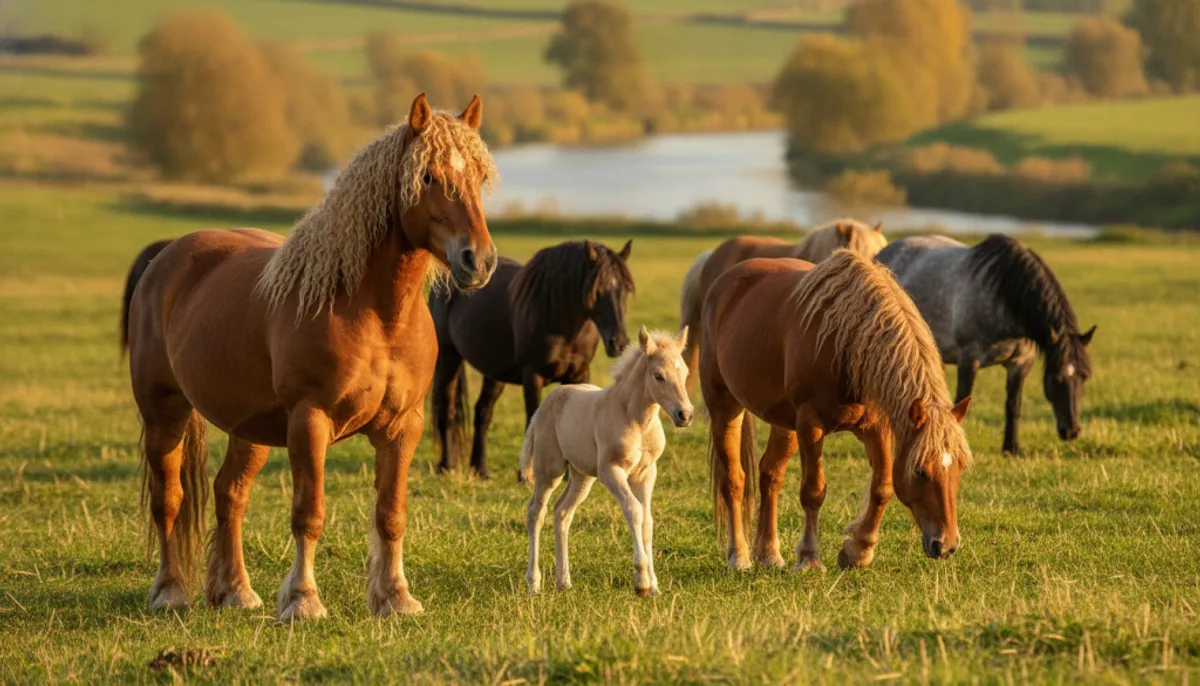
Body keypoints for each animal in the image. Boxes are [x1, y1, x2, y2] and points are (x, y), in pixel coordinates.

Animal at [120, 93, 498, 621]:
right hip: (164, 414)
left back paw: (236, 591)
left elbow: (391, 513)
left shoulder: (404, 427)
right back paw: (170, 591)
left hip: (249, 429)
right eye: (426, 177)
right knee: (169, 499)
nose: (478, 261)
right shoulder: (309, 421)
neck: (374, 314)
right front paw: (303, 600)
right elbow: (309, 514)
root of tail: (167, 257)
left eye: (480, 177)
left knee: (229, 494)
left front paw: (395, 597)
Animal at [430, 239, 635, 478]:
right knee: (447, 409)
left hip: (494, 373)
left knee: (482, 412)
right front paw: (528, 475)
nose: (618, 343)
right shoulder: (532, 376)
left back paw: (480, 469)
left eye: (626, 290)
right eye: (596, 291)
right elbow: (531, 420)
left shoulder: (579, 374)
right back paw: (447, 466)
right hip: (449, 357)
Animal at [520, 327, 692, 596]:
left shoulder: (647, 473)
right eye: (658, 376)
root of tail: (543, 408)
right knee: (536, 513)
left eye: (684, 372)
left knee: (562, 513)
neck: (635, 420)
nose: (685, 414)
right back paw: (534, 583)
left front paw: (654, 585)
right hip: (549, 471)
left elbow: (648, 521)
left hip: (582, 476)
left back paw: (564, 582)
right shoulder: (611, 470)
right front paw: (641, 581)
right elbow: (634, 510)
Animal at [701, 251, 972, 572]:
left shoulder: (877, 428)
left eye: (959, 467)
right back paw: (739, 556)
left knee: (770, 475)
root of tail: (725, 281)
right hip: (725, 406)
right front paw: (809, 558)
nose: (946, 545)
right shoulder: (810, 425)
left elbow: (883, 488)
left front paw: (859, 550)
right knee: (734, 479)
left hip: (784, 423)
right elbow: (813, 491)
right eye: (920, 471)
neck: (847, 344)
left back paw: (769, 553)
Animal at [875, 234, 1096, 455]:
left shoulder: (1020, 364)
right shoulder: (969, 359)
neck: (1003, 297)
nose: (1071, 431)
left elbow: (1013, 404)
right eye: (1056, 378)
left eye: (1084, 376)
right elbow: (962, 400)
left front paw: (1011, 448)